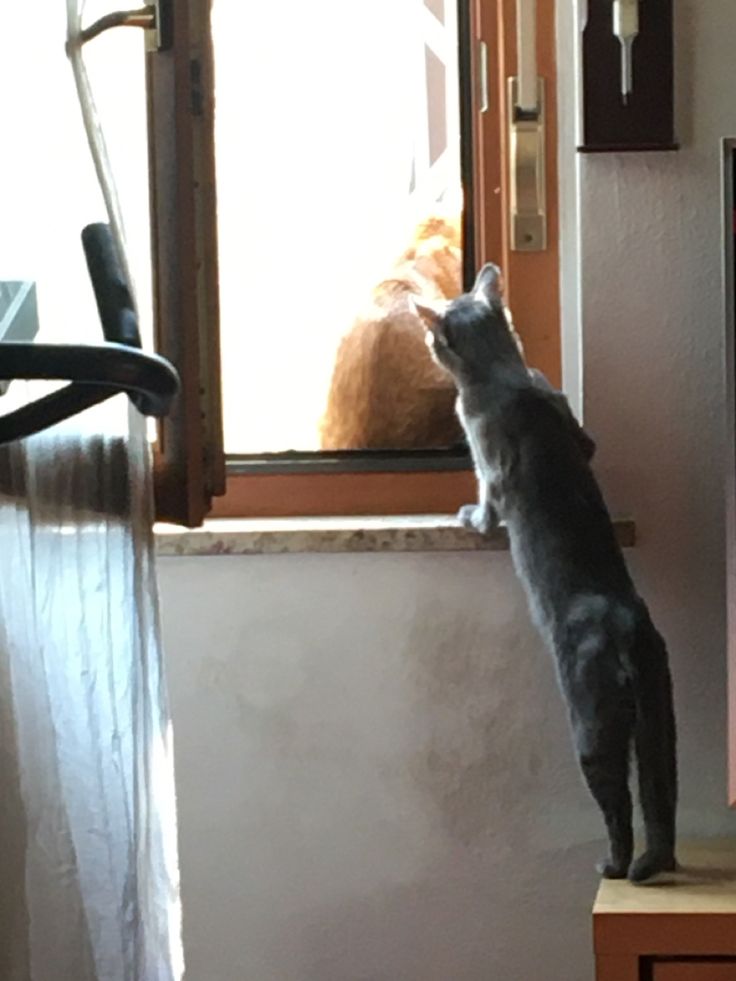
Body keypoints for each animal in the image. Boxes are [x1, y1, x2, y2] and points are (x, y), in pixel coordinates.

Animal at [412, 262, 676, 880]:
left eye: (434, 338)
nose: (423, 343)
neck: (508, 375)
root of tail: (623, 621)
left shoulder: (490, 467)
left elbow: (486, 500)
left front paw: (469, 516)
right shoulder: (576, 427)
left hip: (592, 716)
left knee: (618, 802)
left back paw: (614, 865)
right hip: (660, 713)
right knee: (660, 794)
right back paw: (656, 864)